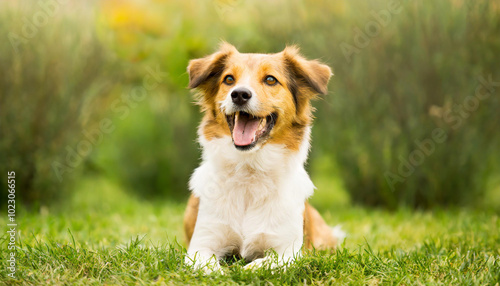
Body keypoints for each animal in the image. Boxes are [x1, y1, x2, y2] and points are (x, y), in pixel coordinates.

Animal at [183, 43, 344, 272]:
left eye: (270, 79)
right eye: (229, 79)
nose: (239, 94)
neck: (249, 171)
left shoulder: (288, 252)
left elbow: (258, 264)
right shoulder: (201, 246)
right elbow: (210, 267)